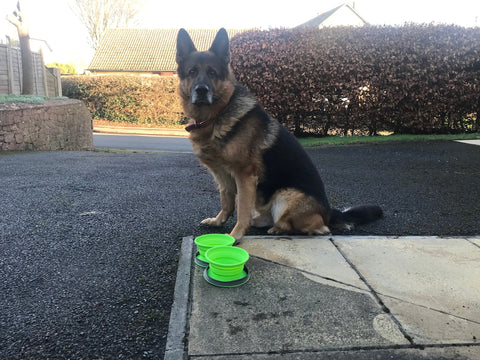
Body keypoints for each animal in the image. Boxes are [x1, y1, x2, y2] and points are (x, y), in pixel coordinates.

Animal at [176, 28, 382, 242]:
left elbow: (242, 209)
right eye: (192, 72)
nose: (201, 90)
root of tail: (329, 212)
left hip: (285, 196)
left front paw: (235, 236)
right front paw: (218, 221)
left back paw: (279, 228)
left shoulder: (245, 175)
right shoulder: (222, 175)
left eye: (212, 73)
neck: (217, 115)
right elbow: (227, 202)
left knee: (316, 228)